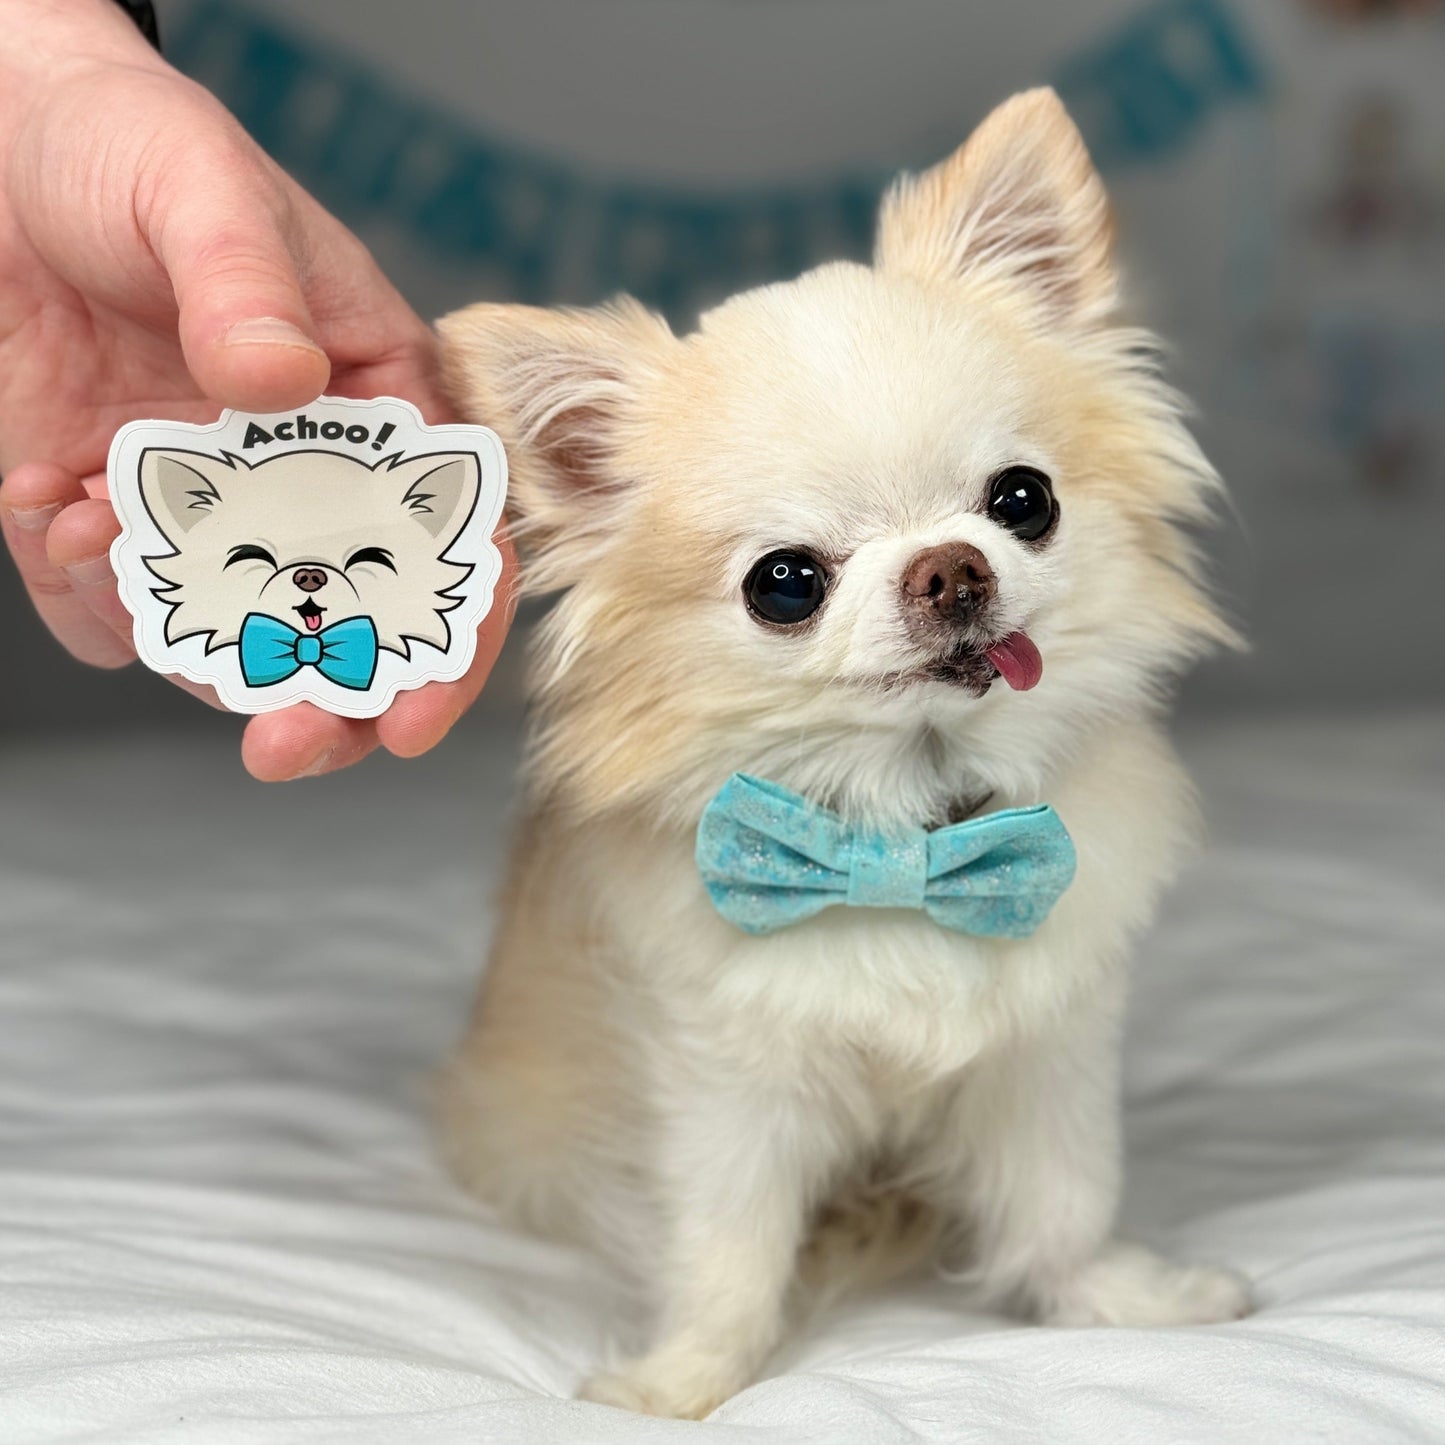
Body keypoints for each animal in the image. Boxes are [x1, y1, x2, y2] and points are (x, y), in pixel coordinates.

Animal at [436, 87, 1250, 1419]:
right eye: (784, 583)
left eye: (1022, 500)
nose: (949, 568)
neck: (907, 827)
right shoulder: (727, 1090)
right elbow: (727, 1251)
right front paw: (683, 1381)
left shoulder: (1045, 1051)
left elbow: (1063, 1197)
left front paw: (1116, 1298)